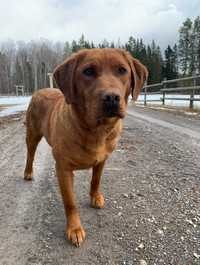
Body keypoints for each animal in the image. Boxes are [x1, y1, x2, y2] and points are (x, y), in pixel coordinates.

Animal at [24, 48, 148, 245]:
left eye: (122, 70)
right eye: (88, 71)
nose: (111, 98)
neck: (97, 131)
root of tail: (41, 90)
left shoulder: (103, 159)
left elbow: (95, 180)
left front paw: (95, 198)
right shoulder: (63, 168)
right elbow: (70, 202)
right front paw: (74, 229)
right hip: (32, 135)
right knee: (30, 155)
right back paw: (28, 172)